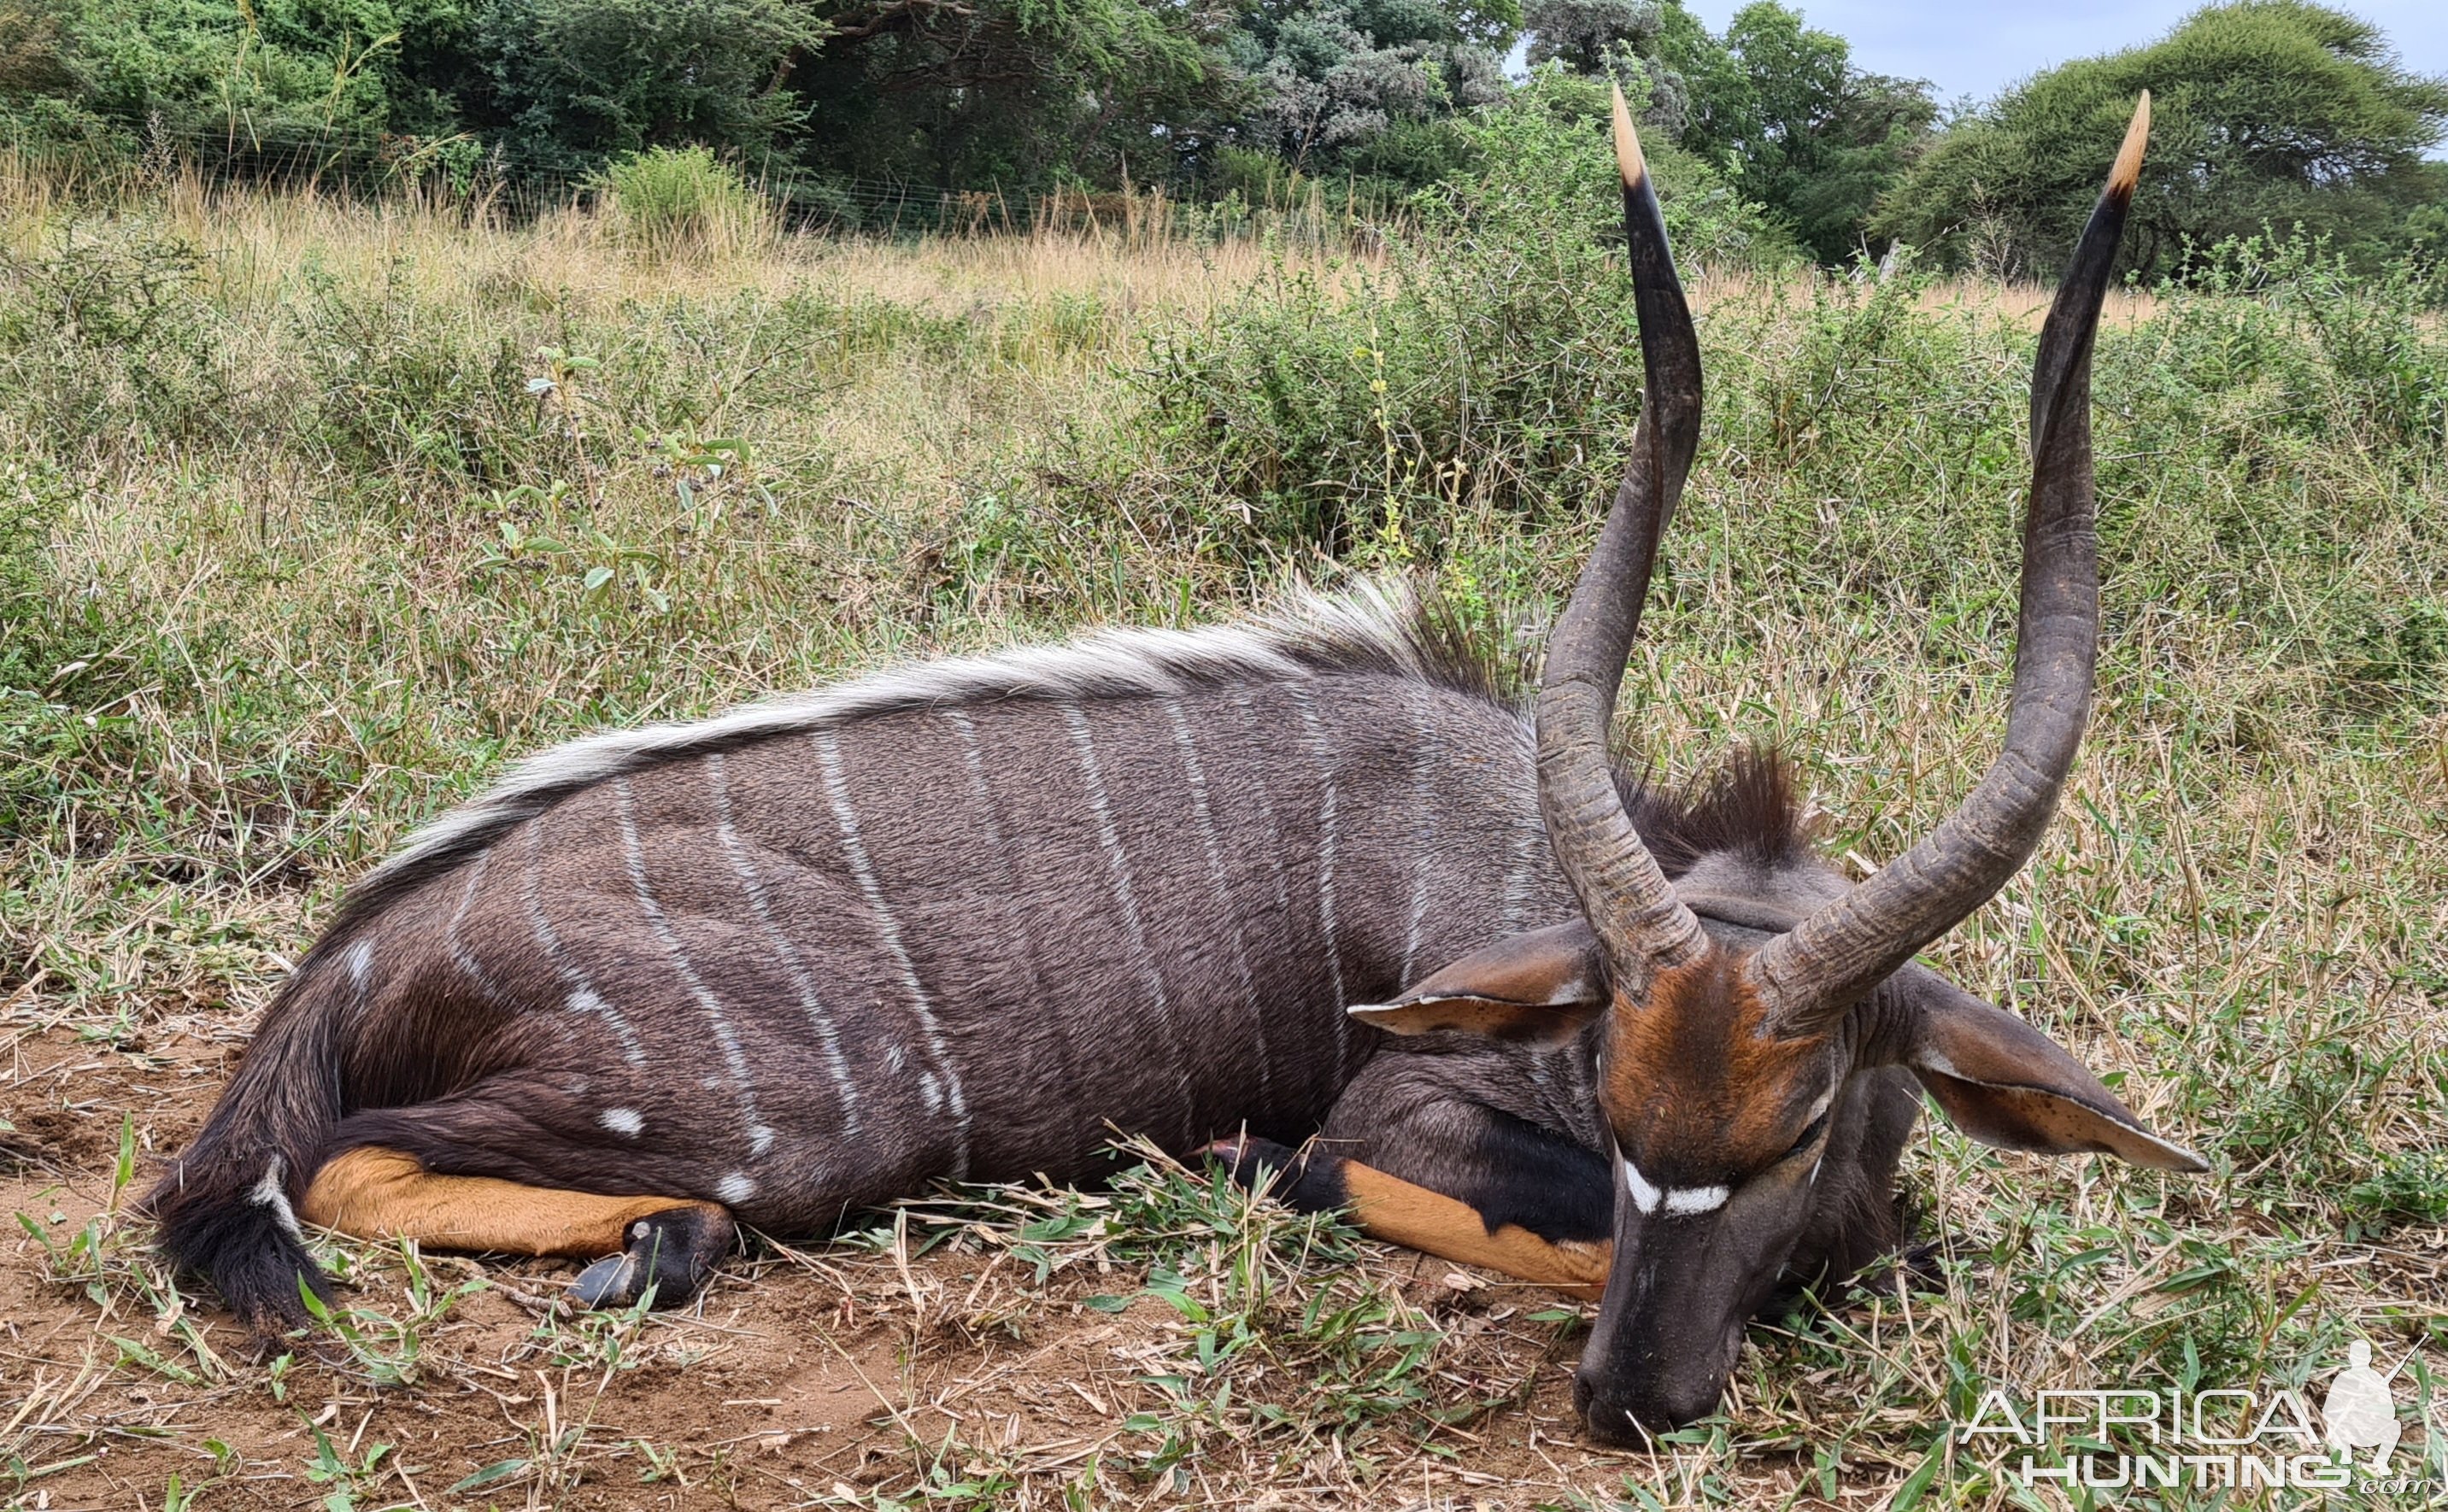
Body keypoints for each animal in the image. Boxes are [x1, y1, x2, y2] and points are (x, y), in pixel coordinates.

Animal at [148, 88, 2203, 1428]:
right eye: (1621, 1119)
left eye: (1795, 1122)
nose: (1633, 1399)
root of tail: (356, 952)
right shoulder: (1407, 1115)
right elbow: (1413, 1188)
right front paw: (1255, 1172)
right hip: (785, 1127)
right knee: (342, 1171)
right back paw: (646, 1247)